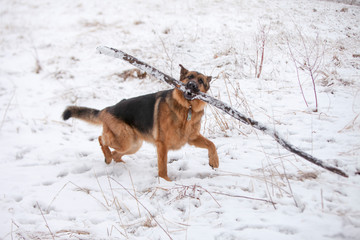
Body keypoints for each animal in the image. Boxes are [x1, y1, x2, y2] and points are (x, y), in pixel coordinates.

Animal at [62, 63, 219, 180]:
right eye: (189, 77)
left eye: (200, 81)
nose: (192, 85)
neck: (187, 108)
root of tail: (108, 109)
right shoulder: (162, 144)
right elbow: (163, 167)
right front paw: (166, 181)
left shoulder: (192, 138)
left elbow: (211, 144)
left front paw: (214, 161)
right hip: (126, 140)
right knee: (102, 139)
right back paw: (107, 156)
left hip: (134, 144)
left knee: (115, 154)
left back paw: (122, 165)